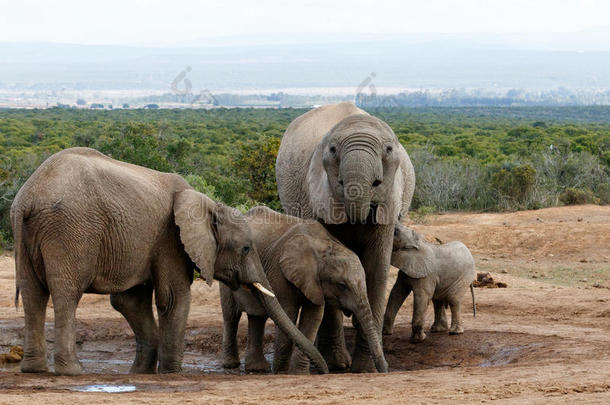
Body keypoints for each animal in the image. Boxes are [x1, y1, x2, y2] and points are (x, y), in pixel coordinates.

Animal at [10, 147, 328, 374]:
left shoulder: (146, 243)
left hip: (30, 234)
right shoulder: (169, 239)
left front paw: (142, 372)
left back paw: (34, 370)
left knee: (33, 294)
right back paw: (72, 372)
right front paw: (172, 371)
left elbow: (129, 301)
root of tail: (29, 197)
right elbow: (173, 298)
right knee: (66, 294)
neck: (207, 203)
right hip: (71, 230)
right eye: (247, 249)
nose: (323, 371)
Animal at [221, 207, 388, 374]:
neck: (323, 246)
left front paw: (298, 373)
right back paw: (231, 364)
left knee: (257, 317)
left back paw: (257, 368)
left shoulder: (316, 283)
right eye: (342, 285)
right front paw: (281, 372)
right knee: (231, 316)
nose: (385, 369)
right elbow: (289, 312)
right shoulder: (279, 271)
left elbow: (313, 317)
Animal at [274, 102, 414, 372]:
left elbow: (376, 269)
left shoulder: (389, 200)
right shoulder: (317, 196)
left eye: (389, 149)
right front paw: (338, 365)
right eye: (332, 150)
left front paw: (365, 368)